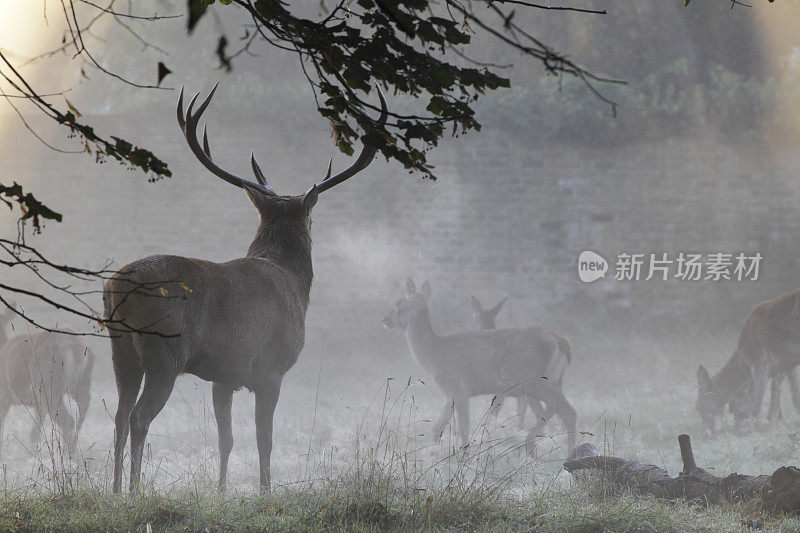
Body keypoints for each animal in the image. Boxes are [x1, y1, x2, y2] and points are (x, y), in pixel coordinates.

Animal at [0, 310, 94, 456]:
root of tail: (72, 346)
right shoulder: (37, 404)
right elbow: (35, 431)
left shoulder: (4, 394)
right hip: (81, 382)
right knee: (82, 410)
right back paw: (73, 453)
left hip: (49, 384)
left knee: (67, 420)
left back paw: (65, 454)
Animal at [105, 84, 388, 494]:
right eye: (311, 217)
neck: (294, 282)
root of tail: (118, 286)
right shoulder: (270, 368)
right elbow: (264, 438)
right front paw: (266, 492)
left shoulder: (224, 375)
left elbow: (226, 439)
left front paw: (221, 492)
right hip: (165, 353)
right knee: (139, 417)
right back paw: (134, 491)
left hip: (120, 350)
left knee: (118, 416)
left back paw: (112, 491)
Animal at [472, 296, 572, 428]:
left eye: (474, 319)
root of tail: (560, 342)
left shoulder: (500, 387)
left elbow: (494, 412)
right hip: (556, 380)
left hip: (533, 381)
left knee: (545, 410)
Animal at [696, 286, 800, 432]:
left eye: (698, 407)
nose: (707, 432)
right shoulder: (787, 364)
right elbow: (792, 398)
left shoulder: (761, 360)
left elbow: (756, 404)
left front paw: (750, 430)